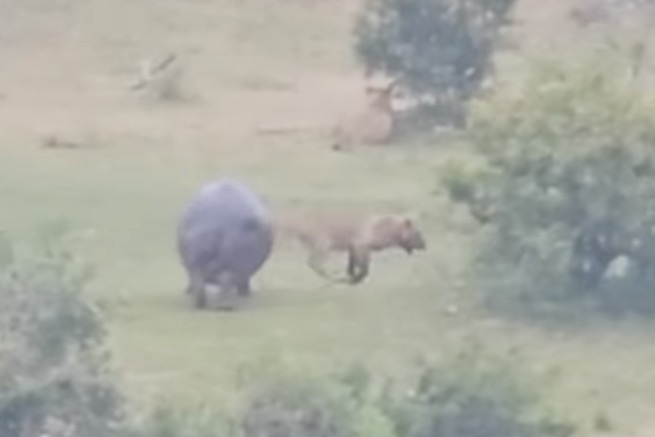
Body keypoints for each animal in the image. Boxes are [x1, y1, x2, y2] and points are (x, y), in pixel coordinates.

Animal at [176, 177, 274, 310]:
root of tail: (216, 226)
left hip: (198, 260)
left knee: (202, 282)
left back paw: (207, 304)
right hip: (228, 262)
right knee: (223, 281)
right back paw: (225, 305)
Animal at [275, 211, 426, 284]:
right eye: (417, 233)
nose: (425, 245)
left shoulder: (353, 248)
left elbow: (352, 267)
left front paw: (351, 276)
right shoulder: (361, 246)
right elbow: (364, 270)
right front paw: (354, 280)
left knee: (314, 263)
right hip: (323, 245)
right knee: (314, 263)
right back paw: (334, 276)